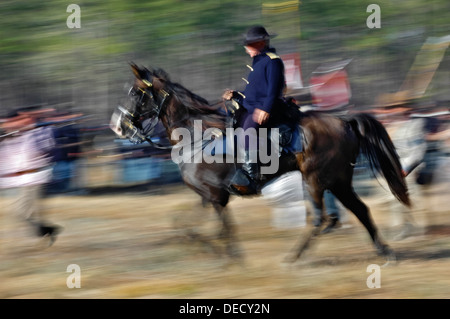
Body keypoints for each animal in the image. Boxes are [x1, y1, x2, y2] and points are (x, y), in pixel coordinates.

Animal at [110, 63, 412, 264]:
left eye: (136, 93)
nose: (119, 126)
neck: (197, 137)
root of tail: (343, 121)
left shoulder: (214, 196)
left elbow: (213, 229)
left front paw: (226, 254)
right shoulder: (210, 197)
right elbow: (186, 225)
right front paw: (226, 253)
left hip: (316, 180)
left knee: (320, 218)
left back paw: (294, 257)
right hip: (339, 181)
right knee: (360, 210)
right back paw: (385, 251)